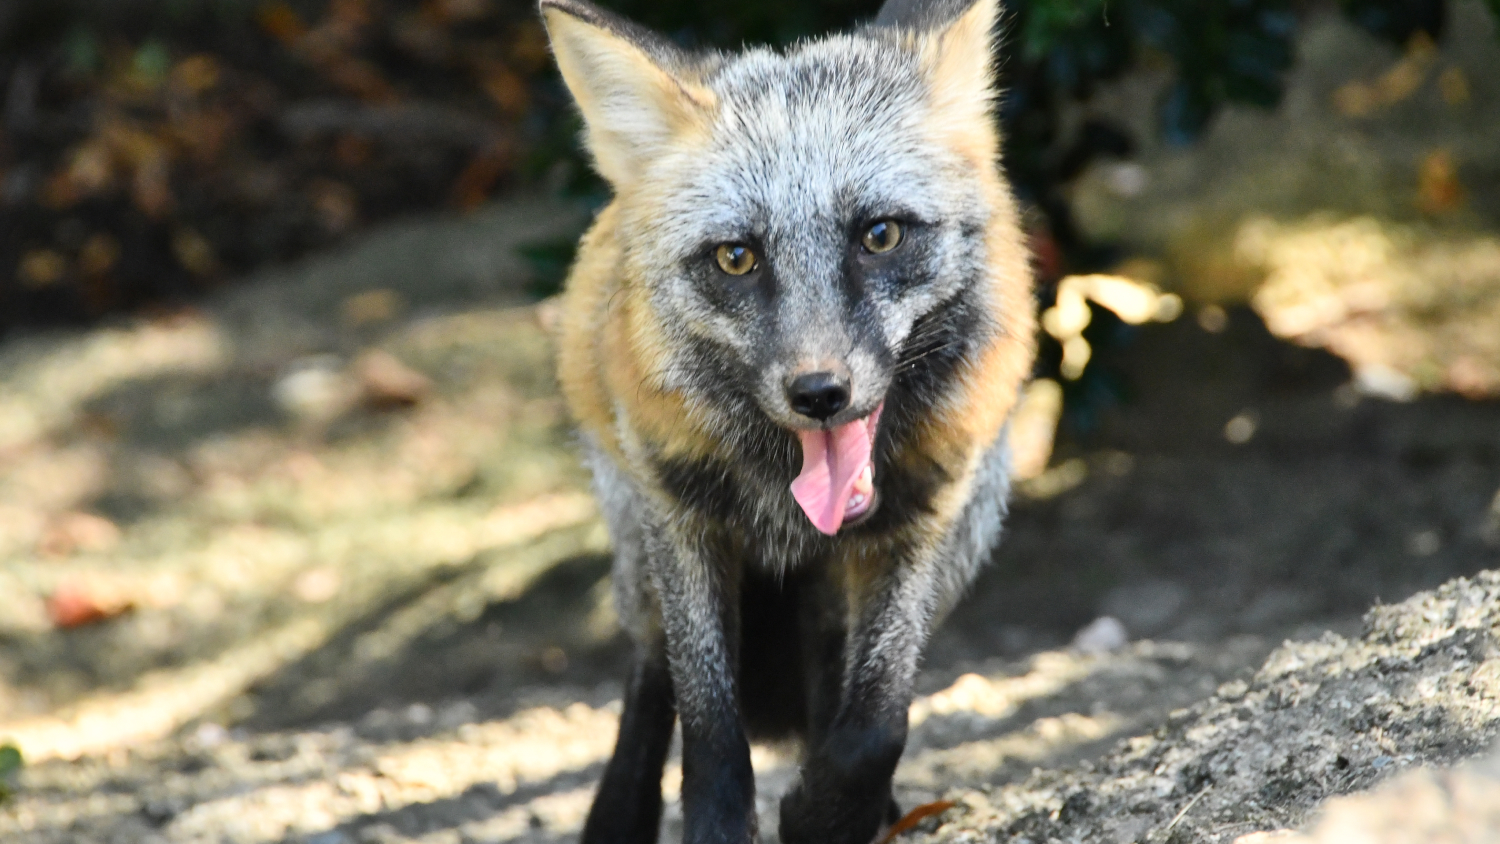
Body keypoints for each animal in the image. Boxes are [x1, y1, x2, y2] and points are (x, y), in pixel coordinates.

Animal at [537, 0, 1035, 841]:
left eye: (880, 235)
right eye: (736, 257)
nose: (819, 392)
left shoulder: (920, 521)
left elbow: (876, 720)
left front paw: (828, 815)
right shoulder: (682, 516)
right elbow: (707, 719)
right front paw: (718, 826)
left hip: (969, 526)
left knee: (831, 678)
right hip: (636, 543)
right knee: (650, 674)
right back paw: (616, 815)